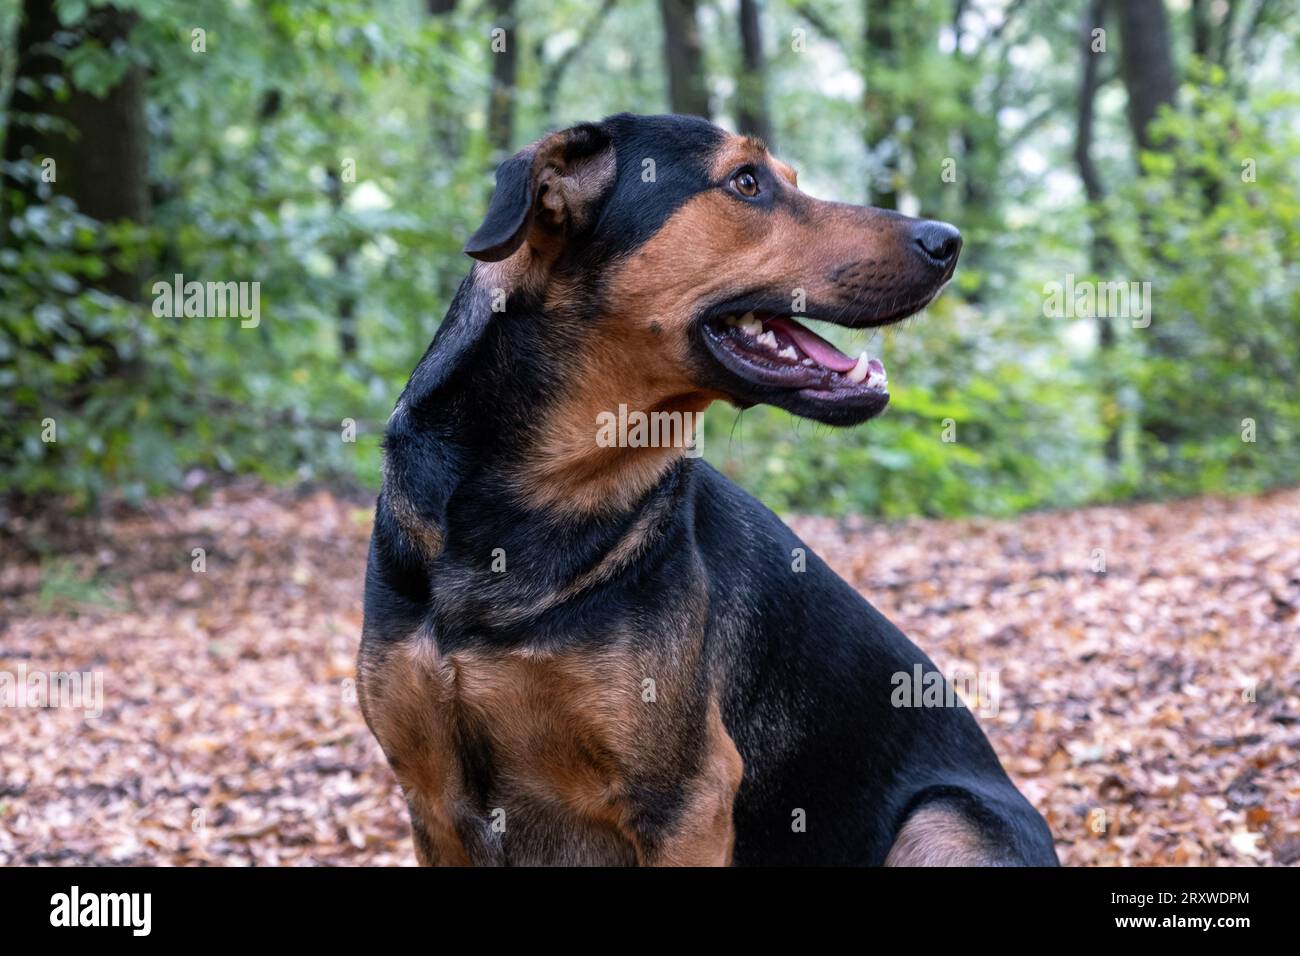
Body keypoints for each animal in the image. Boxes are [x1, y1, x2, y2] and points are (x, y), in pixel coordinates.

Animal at [353, 111, 1055, 868]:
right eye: (746, 183)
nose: (947, 241)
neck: (535, 498)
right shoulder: (434, 800)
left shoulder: (687, 799)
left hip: (942, 823)